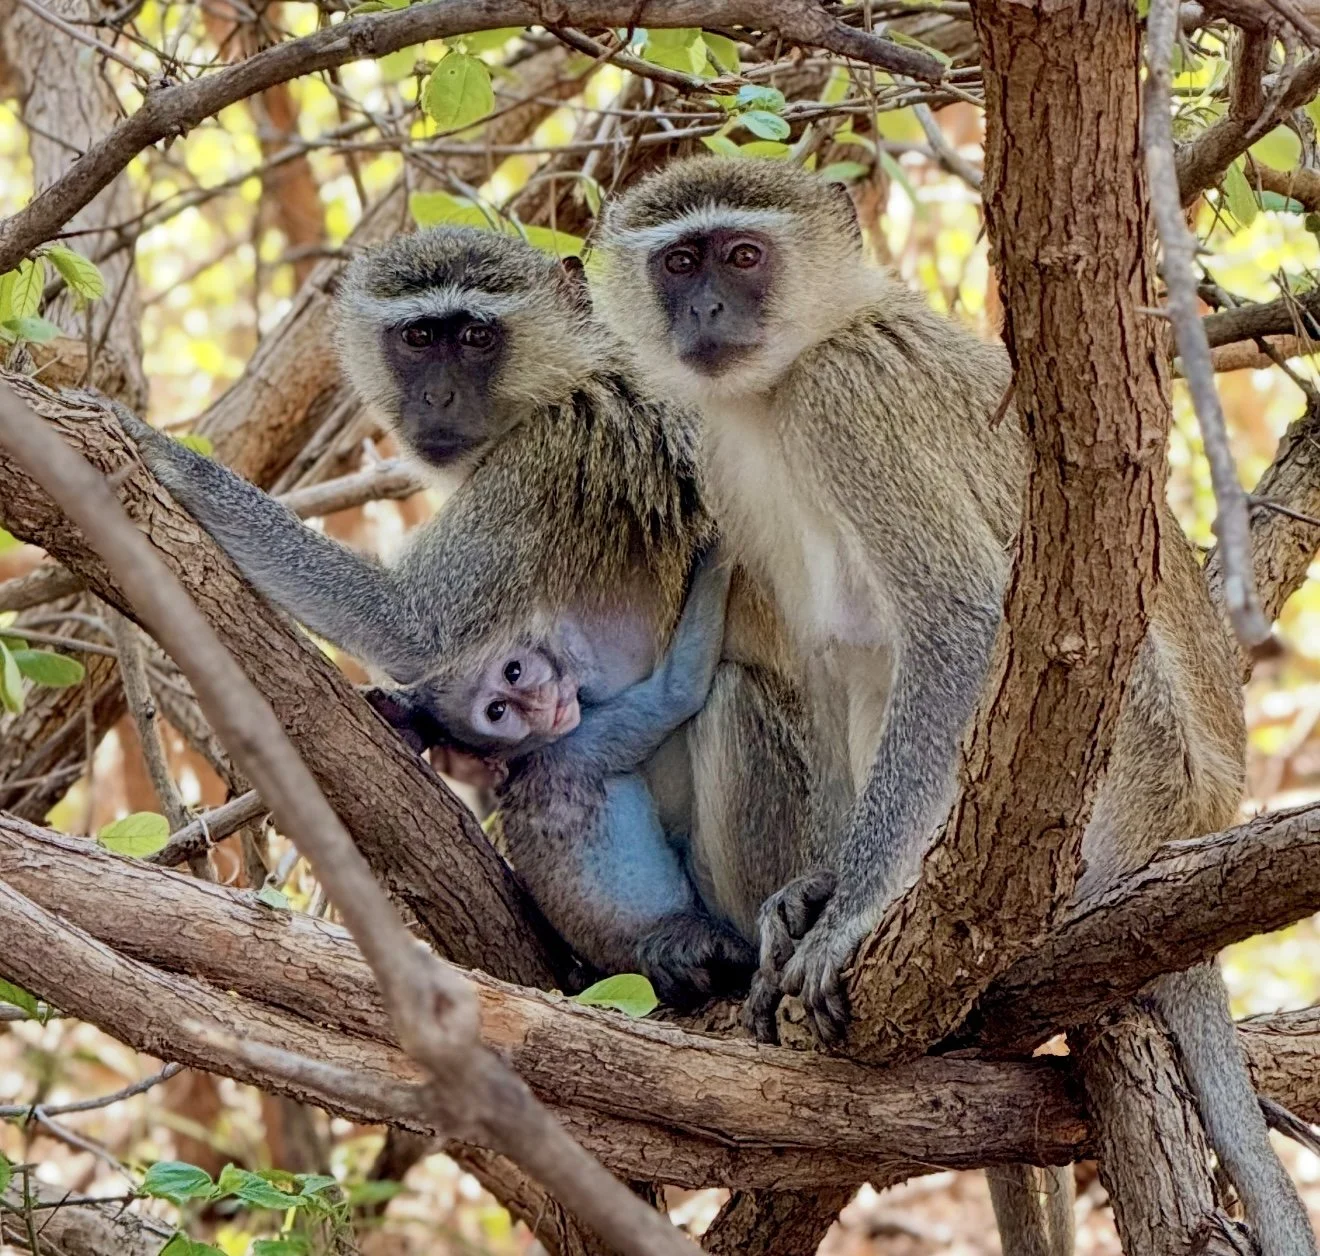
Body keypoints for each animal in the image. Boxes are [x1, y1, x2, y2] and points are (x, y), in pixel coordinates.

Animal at [365, 550, 755, 1006]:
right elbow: (682, 687)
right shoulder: (586, 741)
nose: (539, 703)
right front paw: (716, 557)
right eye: (497, 711)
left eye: (514, 671)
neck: (526, 756)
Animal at [593, 156, 1314, 1256]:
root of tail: (1190, 824)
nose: (707, 308)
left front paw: (849, 917)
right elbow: (832, 659)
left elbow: (962, 623)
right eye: (681, 263)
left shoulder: (848, 399)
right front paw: (818, 889)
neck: (782, 380)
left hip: (1128, 772)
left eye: (744, 255)